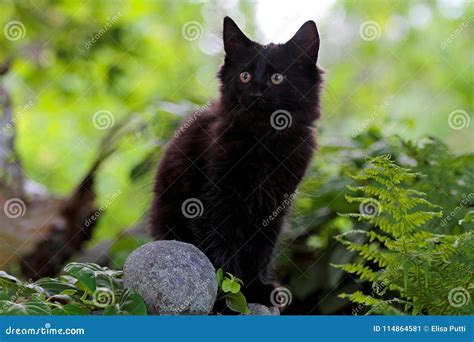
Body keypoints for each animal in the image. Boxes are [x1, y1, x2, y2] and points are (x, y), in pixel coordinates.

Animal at [150, 16, 324, 304]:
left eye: (277, 78)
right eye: (245, 76)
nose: (255, 93)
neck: (263, 139)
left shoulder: (275, 205)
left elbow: (261, 249)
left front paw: (256, 289)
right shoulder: (217, 199)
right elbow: (223, 244)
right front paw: (229, 294)